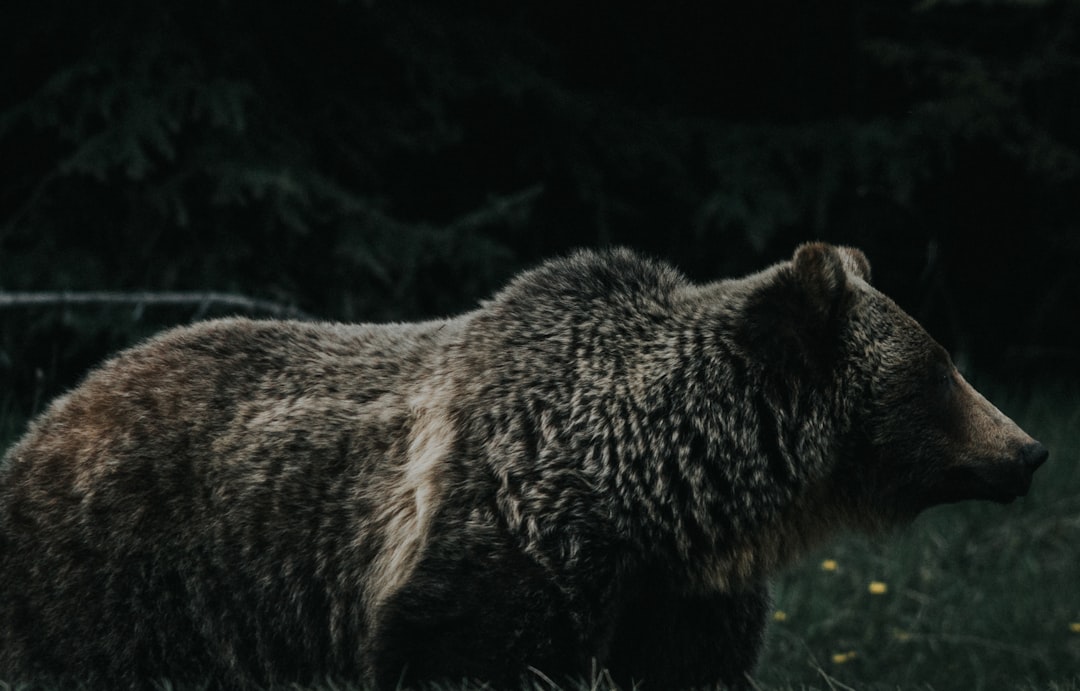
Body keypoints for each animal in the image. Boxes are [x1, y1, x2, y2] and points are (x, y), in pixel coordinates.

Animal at [0, 242, 1045, 686]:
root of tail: (52, 413)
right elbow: (466, 650)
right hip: (131, 576)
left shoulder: (677, 597)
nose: (1029, 450)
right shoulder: (501, 543)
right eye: (939, 368)